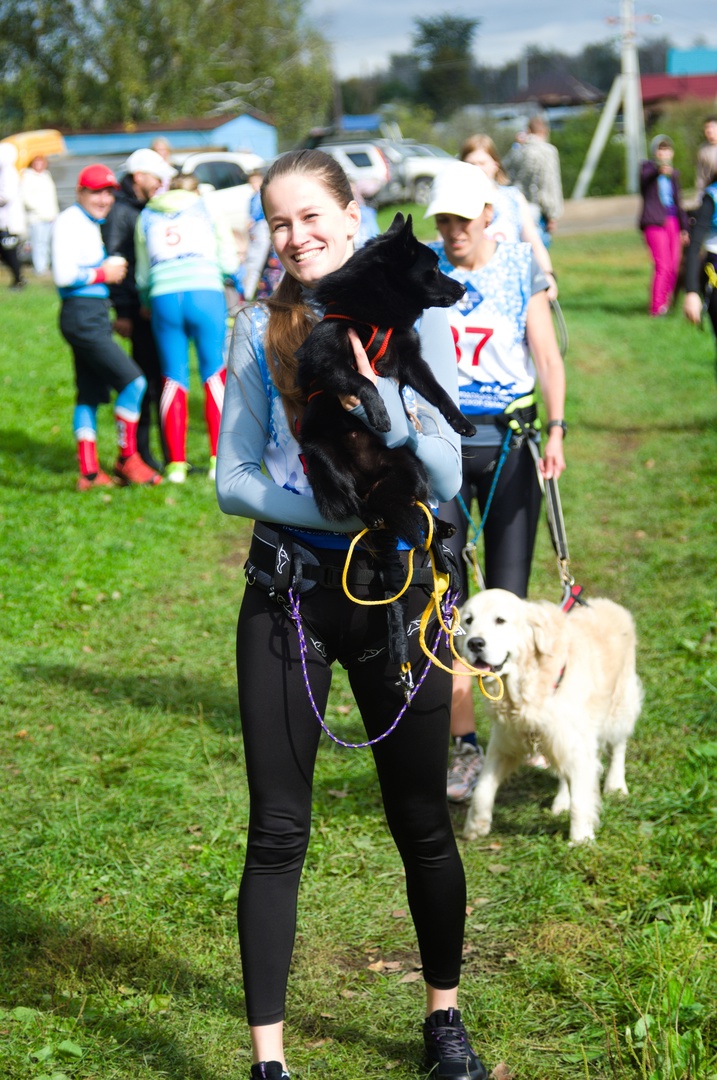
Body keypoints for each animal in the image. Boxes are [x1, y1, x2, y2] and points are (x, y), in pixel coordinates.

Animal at [293, 211, 472, 548]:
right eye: (435, 269)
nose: (464, 288)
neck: (375, 314)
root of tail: (372, 483)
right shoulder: (323, 360)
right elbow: (363, 381)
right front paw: (379, 414)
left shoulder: (412, 361)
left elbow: (439, 392)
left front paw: (461, 422)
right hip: (327, 459)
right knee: (353, 499)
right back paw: (371, 515)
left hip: (413, 464)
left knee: (417, 502)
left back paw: (439, 526)